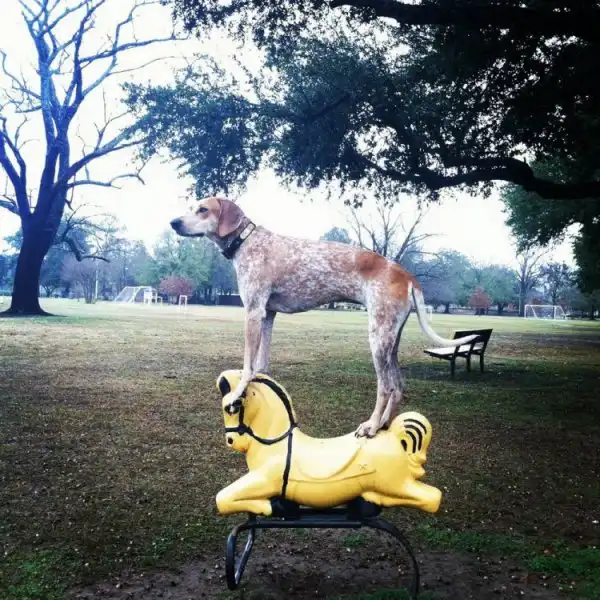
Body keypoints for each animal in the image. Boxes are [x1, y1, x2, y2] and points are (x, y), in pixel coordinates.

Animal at [170, 196, 476, 437]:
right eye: (191, 207)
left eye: (203, 210)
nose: (174, 222)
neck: (247, 242)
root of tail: (406, 274)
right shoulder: (268, 315)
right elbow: (261, 364)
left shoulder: (254, 312)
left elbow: (248, 364)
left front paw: (237, 394)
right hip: (391, 339)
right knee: (399, 386)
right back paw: (383, 425)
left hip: (378, 338)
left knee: (387, 387)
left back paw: (371, 425)